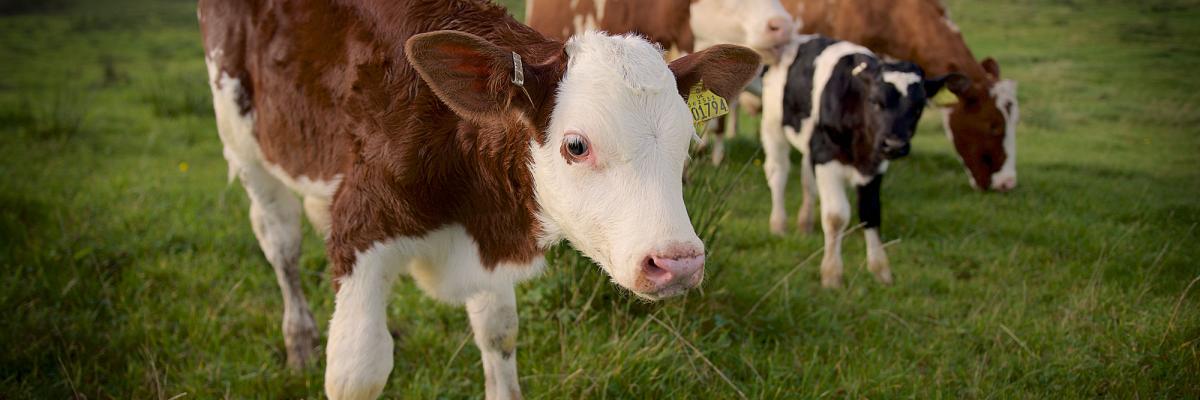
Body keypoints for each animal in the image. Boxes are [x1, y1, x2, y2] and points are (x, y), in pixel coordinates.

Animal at [197, 0, 761, 399]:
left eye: (689, 141)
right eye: (576, 145)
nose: (678, 262)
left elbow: (499, 335)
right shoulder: (360, 227)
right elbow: (357, 371)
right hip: (243, 143)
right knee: (281, 247)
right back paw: (300, 340)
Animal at [760, 35, 967, 287]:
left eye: (919, 107)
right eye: (875, 101)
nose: (894, 145)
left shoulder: (874, 165)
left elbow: (871, 212)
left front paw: (881, 271)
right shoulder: (827, 156)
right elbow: (836, 216)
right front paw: (832, 275)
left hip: (810, 144)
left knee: (808, 182)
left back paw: (804, 224)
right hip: (773, 125)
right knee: (778, 173)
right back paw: (778, 225)